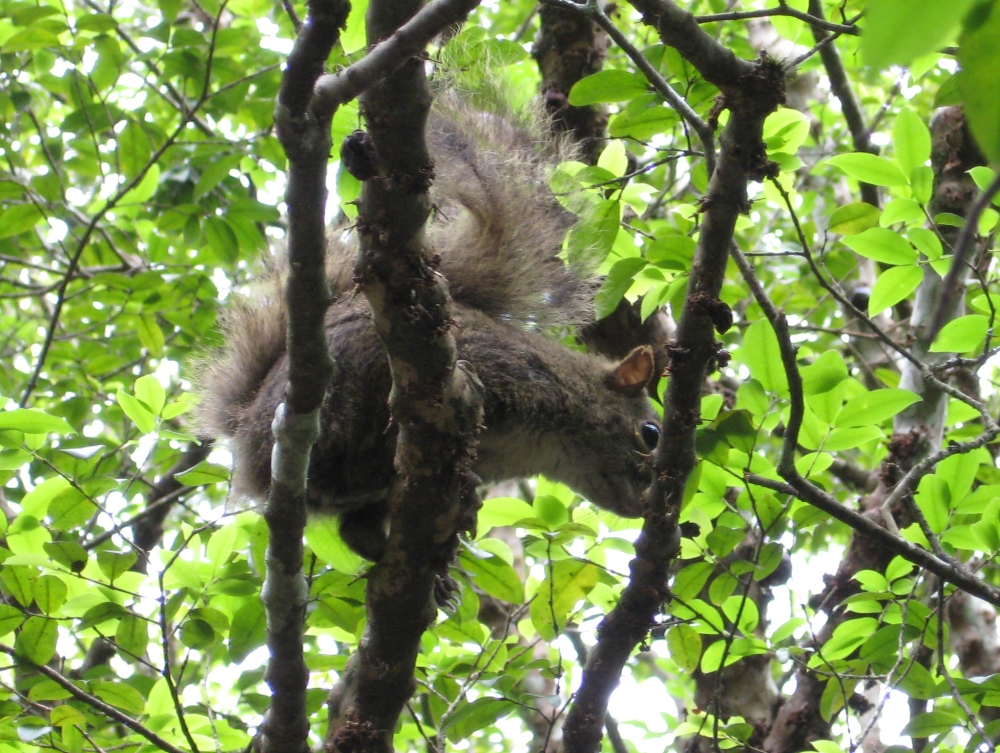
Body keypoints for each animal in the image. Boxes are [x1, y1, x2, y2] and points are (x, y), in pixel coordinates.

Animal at [198, 98, 660, 560]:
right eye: (651, 434)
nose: (646, 508)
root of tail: (248, 445)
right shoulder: (506, 369)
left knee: (355, 530)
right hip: (344, 396)